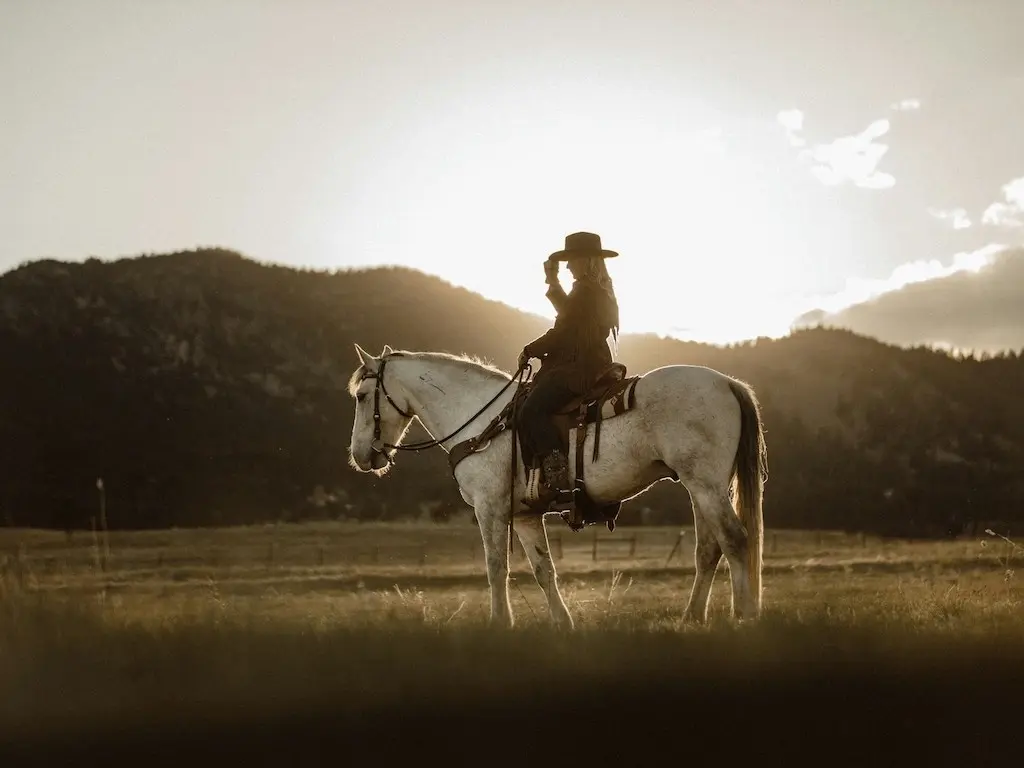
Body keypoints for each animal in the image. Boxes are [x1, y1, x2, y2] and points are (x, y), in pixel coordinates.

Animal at [348, 344, 765, 630]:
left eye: (362, 396)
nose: (360, 456)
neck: (483, 421)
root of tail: (728, 383)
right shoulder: (526, 516)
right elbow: (542, 569)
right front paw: (562, 624)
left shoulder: (490, 507)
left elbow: (496, 566)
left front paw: (500, 624)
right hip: (701, 488)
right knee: (708, 550)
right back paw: (692, 617)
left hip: (706, 485)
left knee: (735, 540)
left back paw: (744, 615)